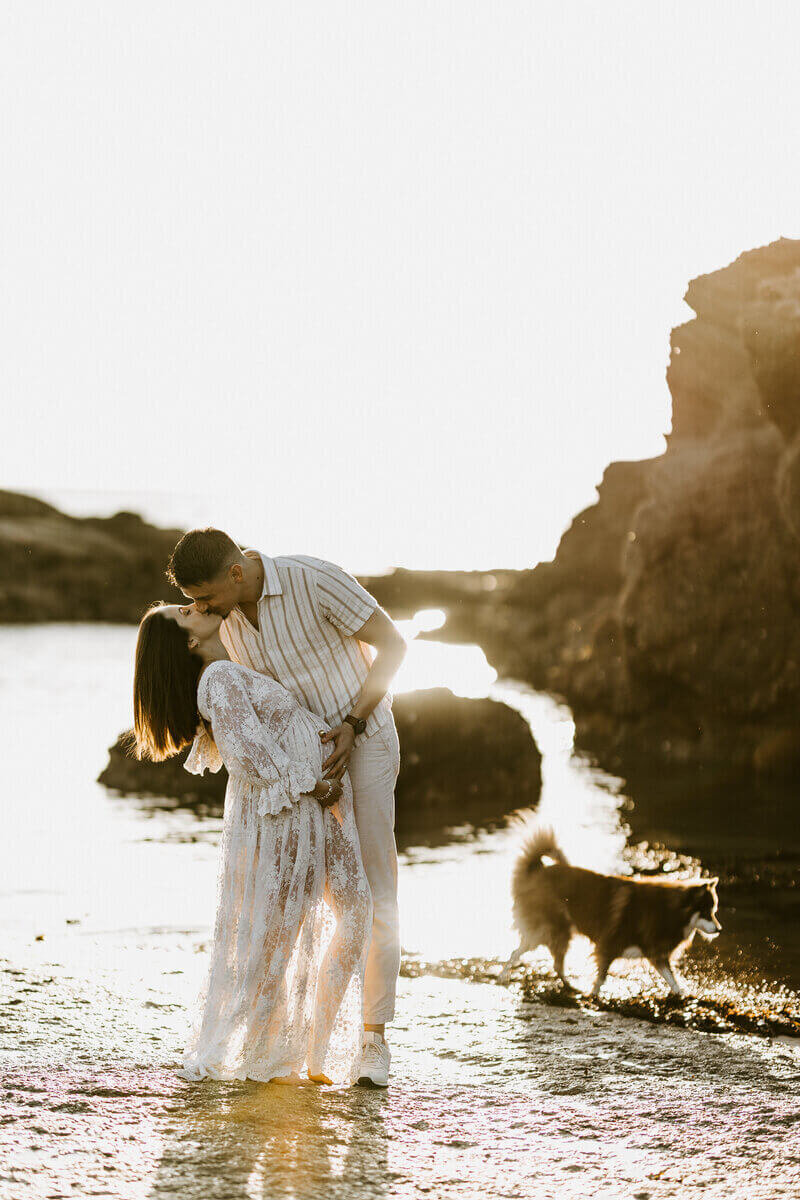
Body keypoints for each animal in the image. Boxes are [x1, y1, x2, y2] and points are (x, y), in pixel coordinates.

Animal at [501, 816, 719, 993]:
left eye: (714, 910)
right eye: (707, 911)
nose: (719, 929)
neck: (668, 911)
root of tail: (537, 871)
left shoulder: (656, 955)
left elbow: (673, 982)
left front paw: (683, 998)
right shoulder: (609, 946)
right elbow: (600, 979)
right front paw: (593, 996)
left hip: (553, 931)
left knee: (530, 955)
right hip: (553, 929)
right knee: (542, 958)